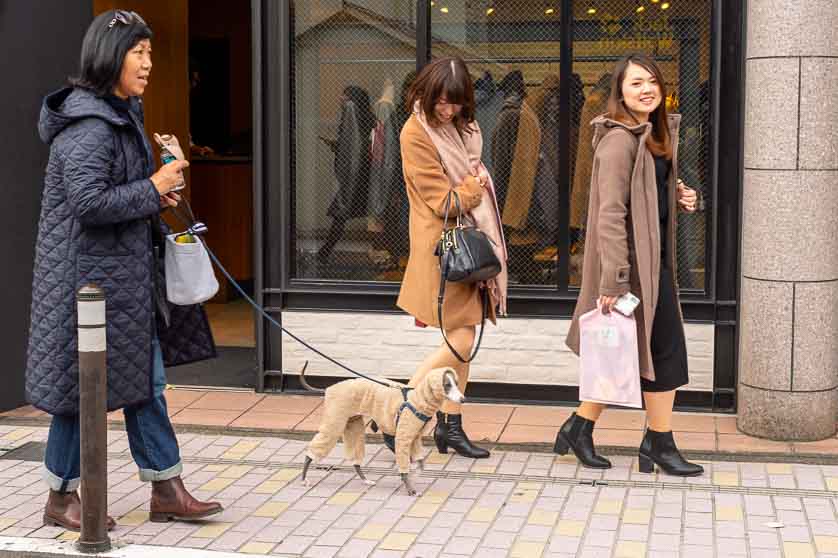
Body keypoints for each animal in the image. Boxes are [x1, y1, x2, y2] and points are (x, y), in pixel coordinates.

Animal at [298, 370, 462, 496]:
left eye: (456, 383)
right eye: (447, 385)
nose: (463, 398)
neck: (418, 400)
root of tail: (329, 388)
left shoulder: (414, 439)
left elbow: (421, 463)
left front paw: (415, 475)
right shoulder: (403, 438)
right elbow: (405, 468)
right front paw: (410, 489)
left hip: (354, 425)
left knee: (356, 461)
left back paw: (366, 480)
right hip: (335, 422)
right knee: (311, 452)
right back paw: (304, 479)